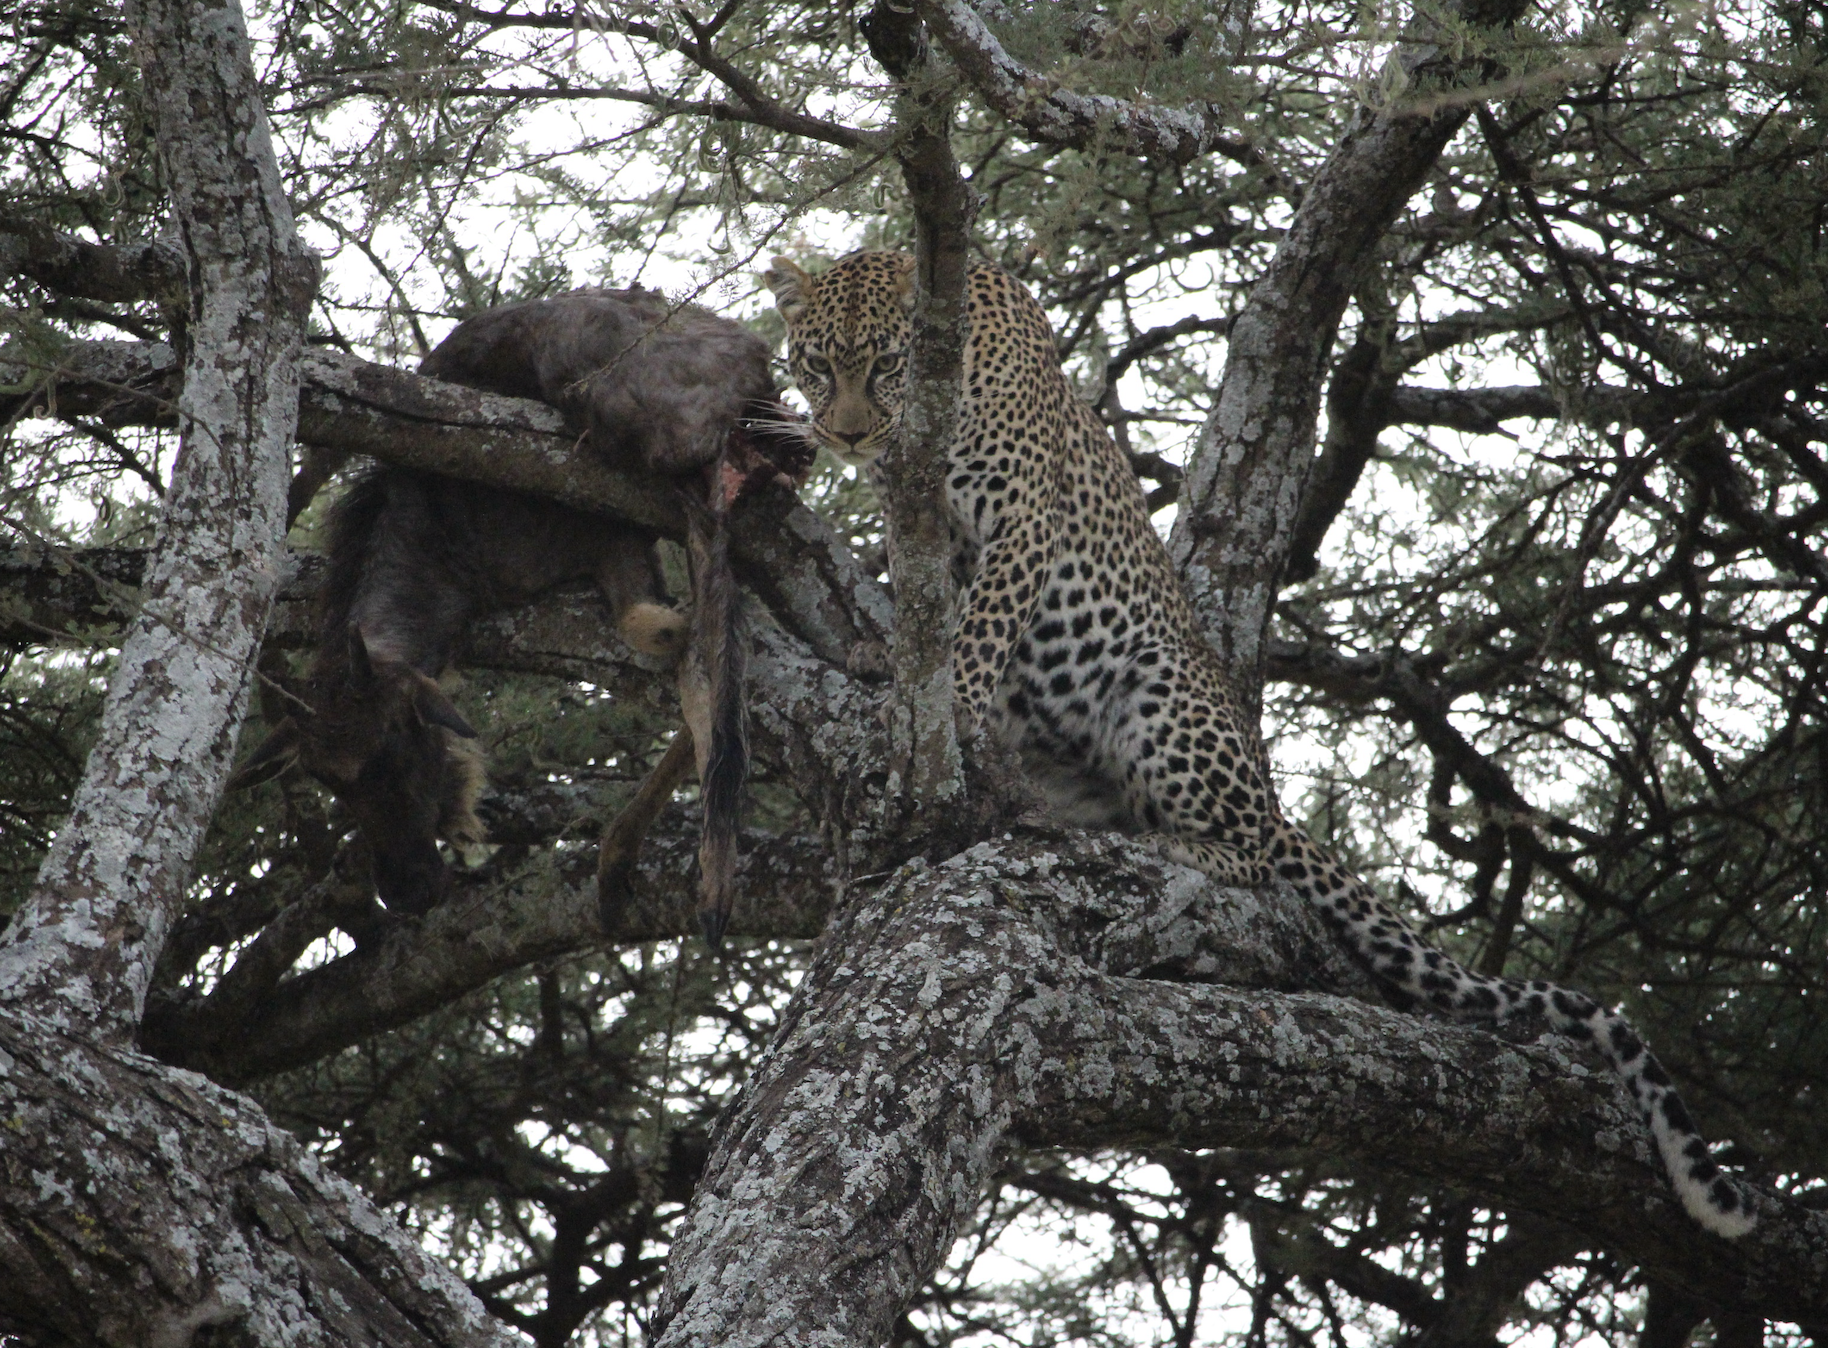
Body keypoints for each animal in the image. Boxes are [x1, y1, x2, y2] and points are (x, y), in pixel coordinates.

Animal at [760, 246, 1754, 1236]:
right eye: (816, 367)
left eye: (885, 364)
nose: (846, 436)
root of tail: (1272, 794)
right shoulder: (921, 519)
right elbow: (924, 606)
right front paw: (885, 658)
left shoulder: (1019, 516)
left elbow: (978, 627)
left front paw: (954, 706)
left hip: (1161, 690)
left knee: (1247, 849)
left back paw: (1169, 843)